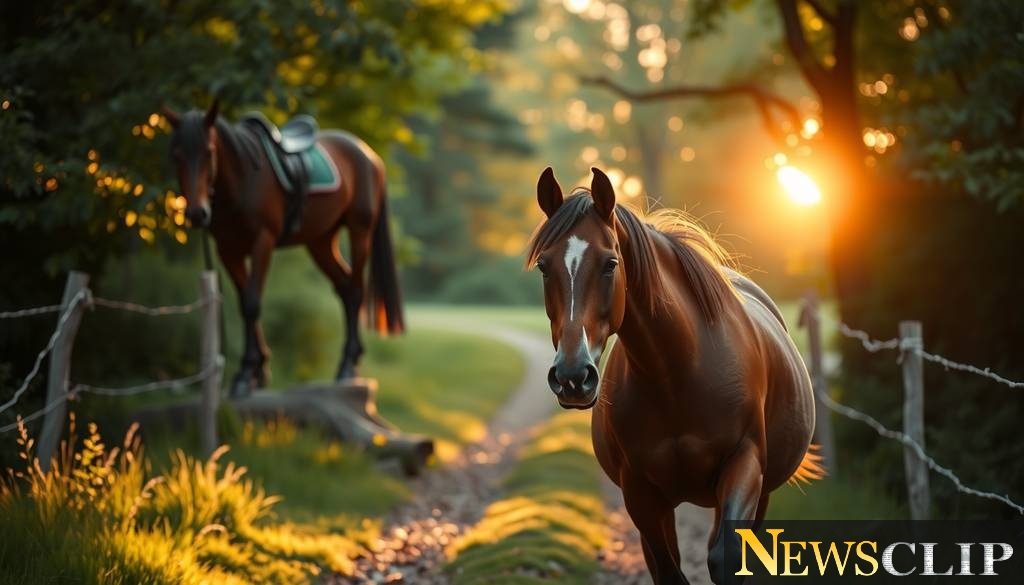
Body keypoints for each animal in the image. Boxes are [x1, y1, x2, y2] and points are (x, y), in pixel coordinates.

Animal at [162, 100, 404, 396]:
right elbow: (244, 302)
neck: (243, 178)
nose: (197, 214)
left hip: (360, 231)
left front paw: (246, 374)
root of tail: (369, 155)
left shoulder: (263, 242)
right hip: (321, 242)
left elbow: (252, 303)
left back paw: (348, 366)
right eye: (176, 155)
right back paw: (351, 360)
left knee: (356, 290)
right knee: (346, 289)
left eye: (209, 152)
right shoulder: (228, 251)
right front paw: (258, 371)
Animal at [527, 167, 822, 584]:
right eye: (543, 266)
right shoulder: (640, 492)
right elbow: (669, 571)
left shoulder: (744, 464)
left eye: (610, 263)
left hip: (759, 493)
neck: (677, 373)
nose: (572, 376)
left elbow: (725, 557)